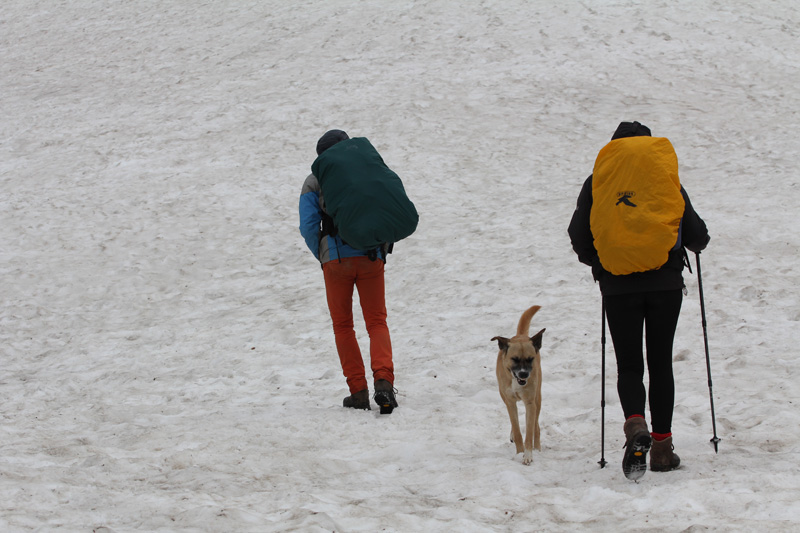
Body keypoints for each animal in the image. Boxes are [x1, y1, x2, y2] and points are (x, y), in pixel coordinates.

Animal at [490, 306, 548, 464]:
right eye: (514, 359)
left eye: (530, 359)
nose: (523, 374)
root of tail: (521, 336)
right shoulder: (509, 401)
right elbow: (517, 430)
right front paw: (519, 452)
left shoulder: (530, 402)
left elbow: (529, 430)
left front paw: (527, 454)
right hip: (504, 396)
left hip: (537, 398)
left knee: (536, 426)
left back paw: (537, 447)